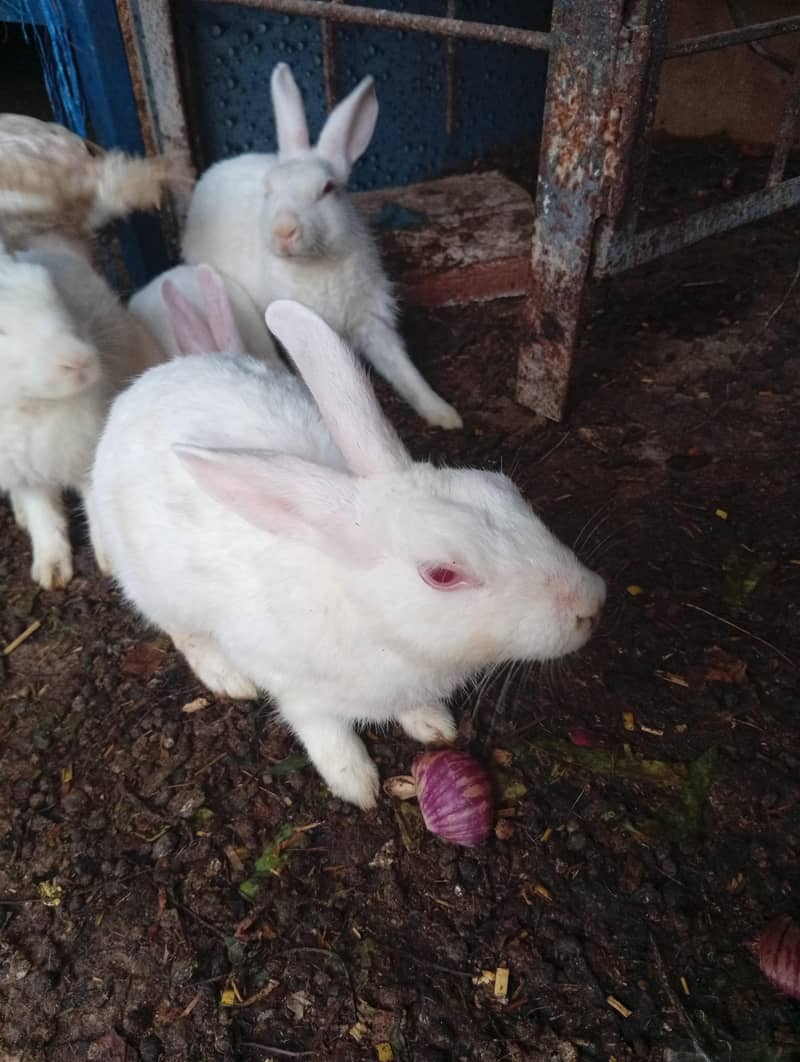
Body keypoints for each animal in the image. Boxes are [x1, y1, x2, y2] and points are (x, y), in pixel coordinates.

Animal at [0, 237, 165, 589]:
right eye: (0, 331)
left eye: (49, 288)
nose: (80, 360)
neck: (30, 407)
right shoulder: (26, 476)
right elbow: (43, 518)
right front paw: (50, 571)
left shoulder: (88, 456)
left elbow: (97, 507)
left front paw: (111, 562)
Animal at [88, 280, 606, 810]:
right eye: (442, 574)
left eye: (506, 490)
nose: (591, 603)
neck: (369, 617)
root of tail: (151, 382)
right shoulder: (298, 692)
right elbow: (325, 733)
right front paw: (357, 784)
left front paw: (432, 723)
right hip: (159, 592)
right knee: (186, 636)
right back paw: (226, 678)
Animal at [181, 62, 462, 431]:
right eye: (268, 189)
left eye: (328, 189)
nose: (284, 230)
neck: (318, 265)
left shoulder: (372, 321)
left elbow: (404, 370)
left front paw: (444, 413)